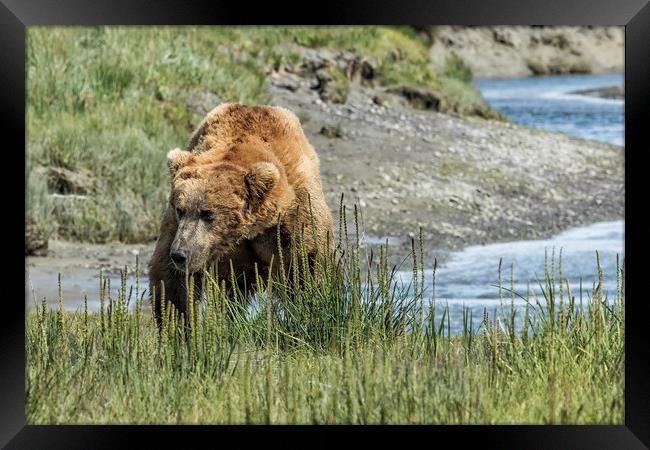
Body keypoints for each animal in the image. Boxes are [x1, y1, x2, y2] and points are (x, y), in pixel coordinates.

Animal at [147, 103, 334, 326]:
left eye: (208, 213)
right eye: (180, 209)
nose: (180, 254)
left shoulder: (295, 216)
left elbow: (309, 267)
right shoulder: (181, 232)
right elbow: (172, 283)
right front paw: (178, 326)